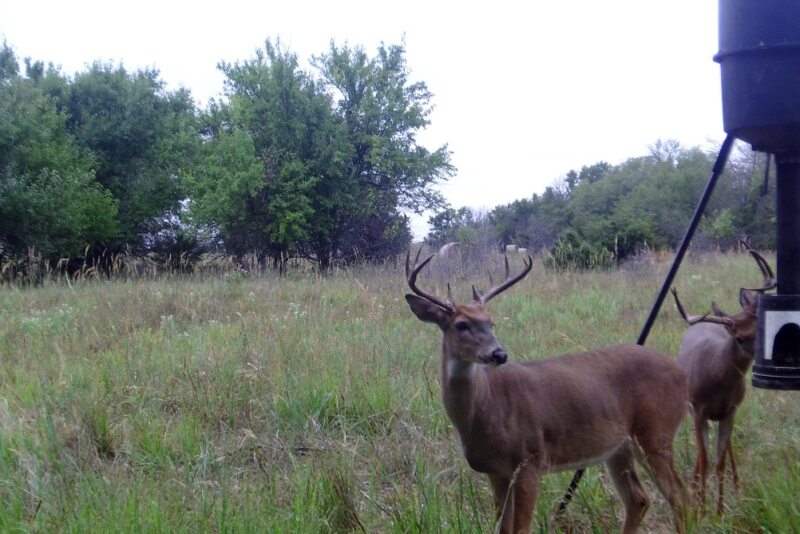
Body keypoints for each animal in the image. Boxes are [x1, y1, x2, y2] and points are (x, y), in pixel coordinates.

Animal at [405, 250, 688, 534]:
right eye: (461, 325)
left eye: (490, 323)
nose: (499, 354)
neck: (485, 407)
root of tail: (681, 371)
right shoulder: (496, 471)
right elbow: (504, 528)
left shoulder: (529, 459)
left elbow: (520, 528)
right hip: (618, 446)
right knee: (639, 499)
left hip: (656, 431)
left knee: (681, 496)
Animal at [670, 244, 776, 514]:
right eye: (739, 337)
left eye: (761, 327)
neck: (719, 380)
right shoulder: (698, 409)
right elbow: (706, 460)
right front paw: (702, 508)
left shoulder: (731, 410)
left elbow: (719, 462)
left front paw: (718, 511)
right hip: (693, 411)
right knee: (701, 453)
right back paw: (695, 485)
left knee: (725, 451)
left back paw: (736, 487)